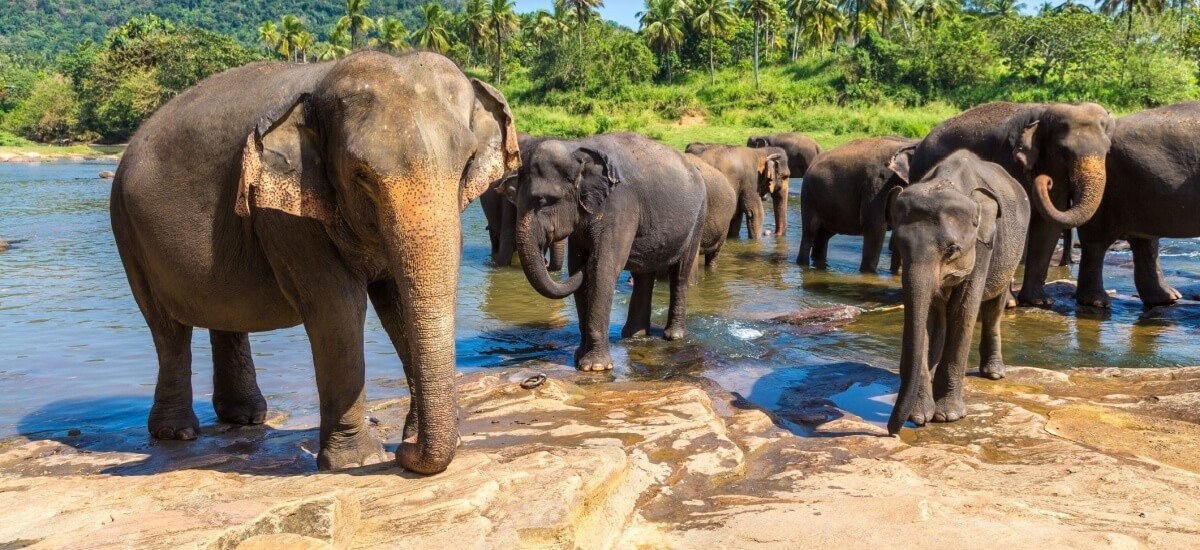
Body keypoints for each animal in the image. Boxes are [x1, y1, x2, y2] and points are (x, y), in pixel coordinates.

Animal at [109, 51, 519, 475]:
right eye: (361, 175)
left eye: (467, 163)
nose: (403, 453)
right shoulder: (286, 213)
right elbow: (337, 308)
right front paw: (359, 461)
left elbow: (397, 306)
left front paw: (413, 440)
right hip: (126, 229)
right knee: (167, 329)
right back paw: (177, 433)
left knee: (223, 315)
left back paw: (245, 418)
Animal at [514, 132, 707, 371]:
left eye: (544, 200)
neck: (576, 148)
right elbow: (577, 268)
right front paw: (579, 357)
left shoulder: (619, 204)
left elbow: (602, 268)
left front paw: (595, 367)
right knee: (644, 276)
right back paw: (634, 335)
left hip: (699, 216)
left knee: (679, 273)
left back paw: (673, 336)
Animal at [796, 136, 917, 273]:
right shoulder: (877, 185)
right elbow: (875, 226)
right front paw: (868, 273)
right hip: (809, 193)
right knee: (810, 230)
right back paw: (804, 265)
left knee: (824, 235)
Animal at [885, 150, 1030, 435]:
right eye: (897, 244)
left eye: (952, 249)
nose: (891, 430)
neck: (948, 182)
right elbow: (926, 314)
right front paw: (920, 415)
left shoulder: (983, 246)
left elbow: (964, 311)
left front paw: (948, 416)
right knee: (939, 318)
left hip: (1011, 251)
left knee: (993, 308)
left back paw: (994, 373)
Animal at [905, 102, 1113, 307]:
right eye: (1063, 152)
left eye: (1108, 150)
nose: (1046, 181)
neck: (1044, 111)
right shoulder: (1009, 159)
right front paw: (1009, 303)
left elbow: (1048, 225)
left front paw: (1039, 301)